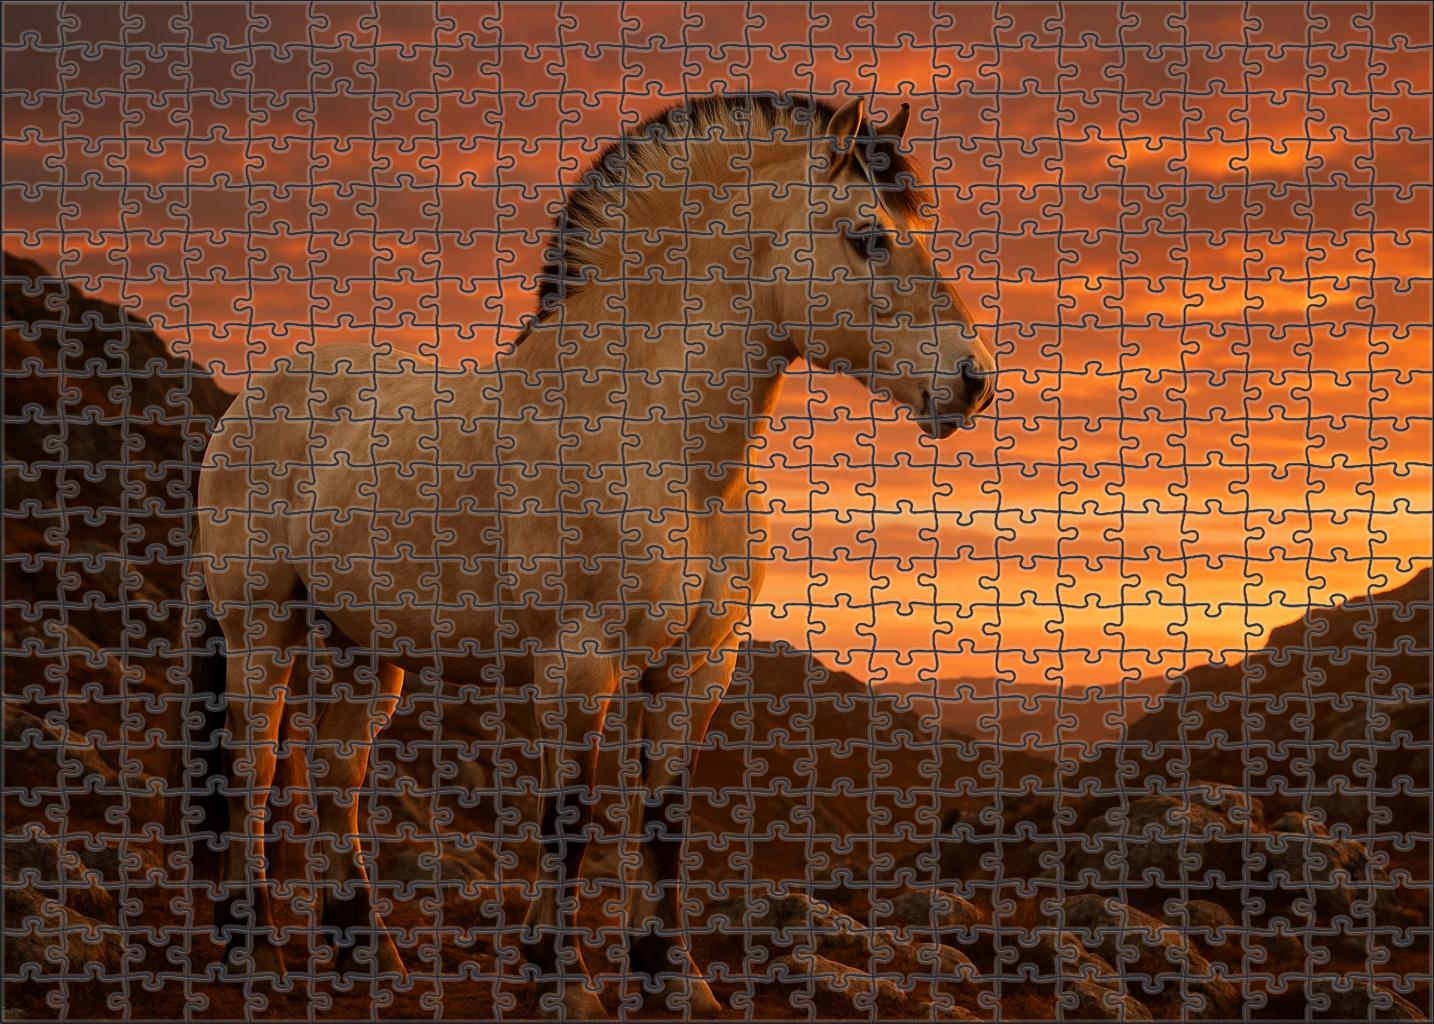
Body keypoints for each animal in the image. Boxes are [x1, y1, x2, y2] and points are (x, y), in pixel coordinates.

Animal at [174, 91, 996, 1018]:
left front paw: (675, 979)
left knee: (336, 767)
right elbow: (568, 820)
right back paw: (256, 947)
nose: (973, 380)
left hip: (363, 647)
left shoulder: (695, 671)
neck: (658, 437)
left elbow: (663, 819)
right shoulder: (578, 664)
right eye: (867, 236)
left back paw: (368, 950)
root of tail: (247, 405)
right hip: (261, 630)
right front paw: (565, 984)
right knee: (253, 764)